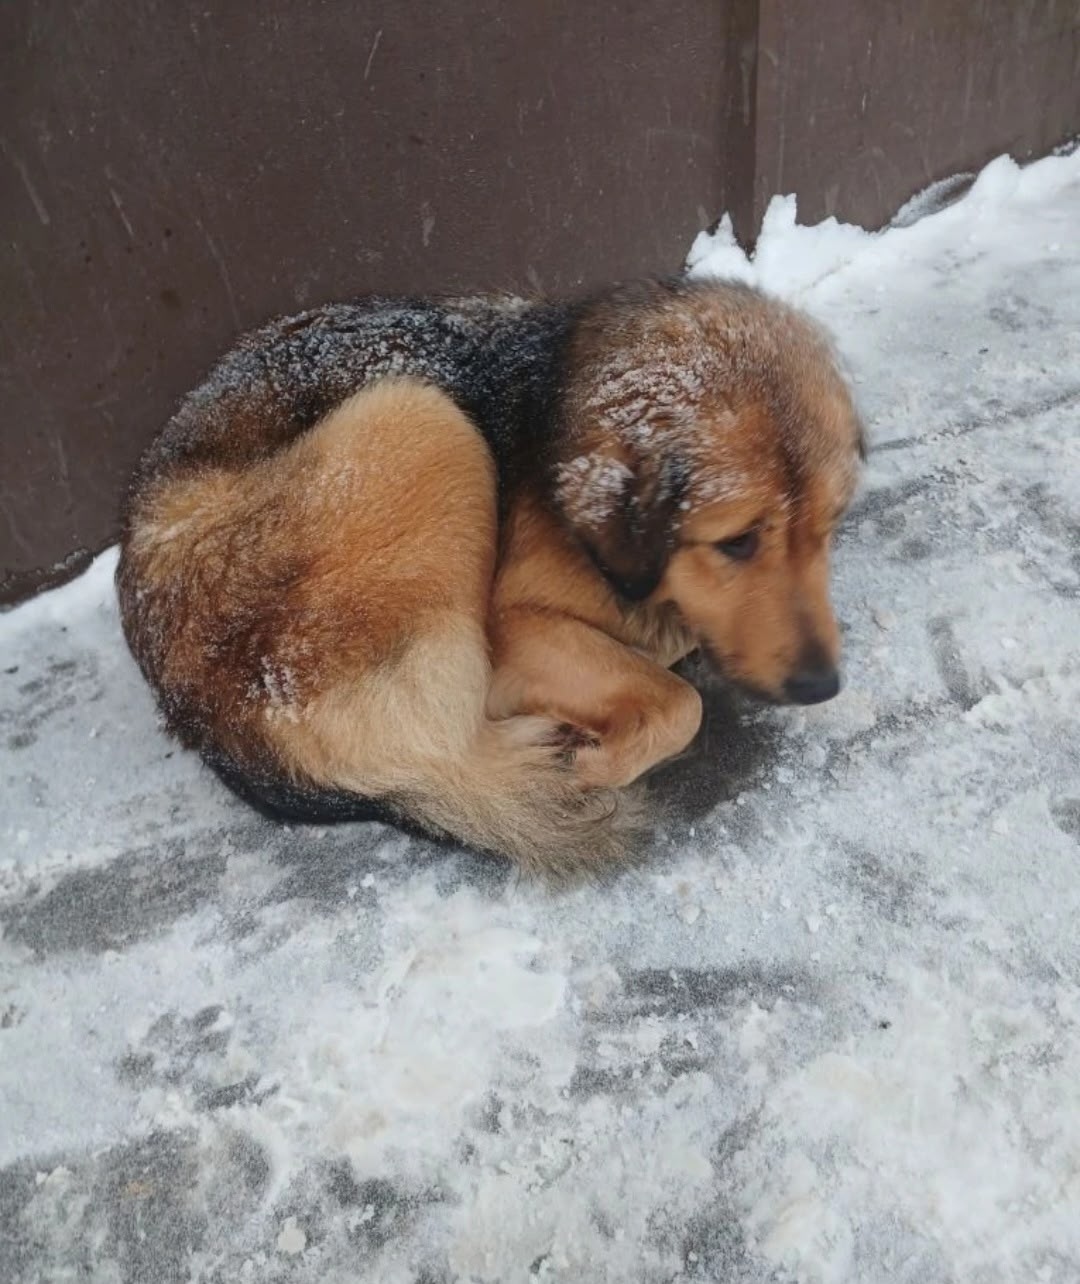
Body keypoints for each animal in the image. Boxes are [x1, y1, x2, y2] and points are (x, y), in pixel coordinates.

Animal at [117, 277, 864, 877]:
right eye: (737, 542)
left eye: (828, 529)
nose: (822, 686)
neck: (556, 408)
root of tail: (196, 717)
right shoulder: (513, 630)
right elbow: (682, 704)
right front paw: (598, 758)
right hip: (421, 419)